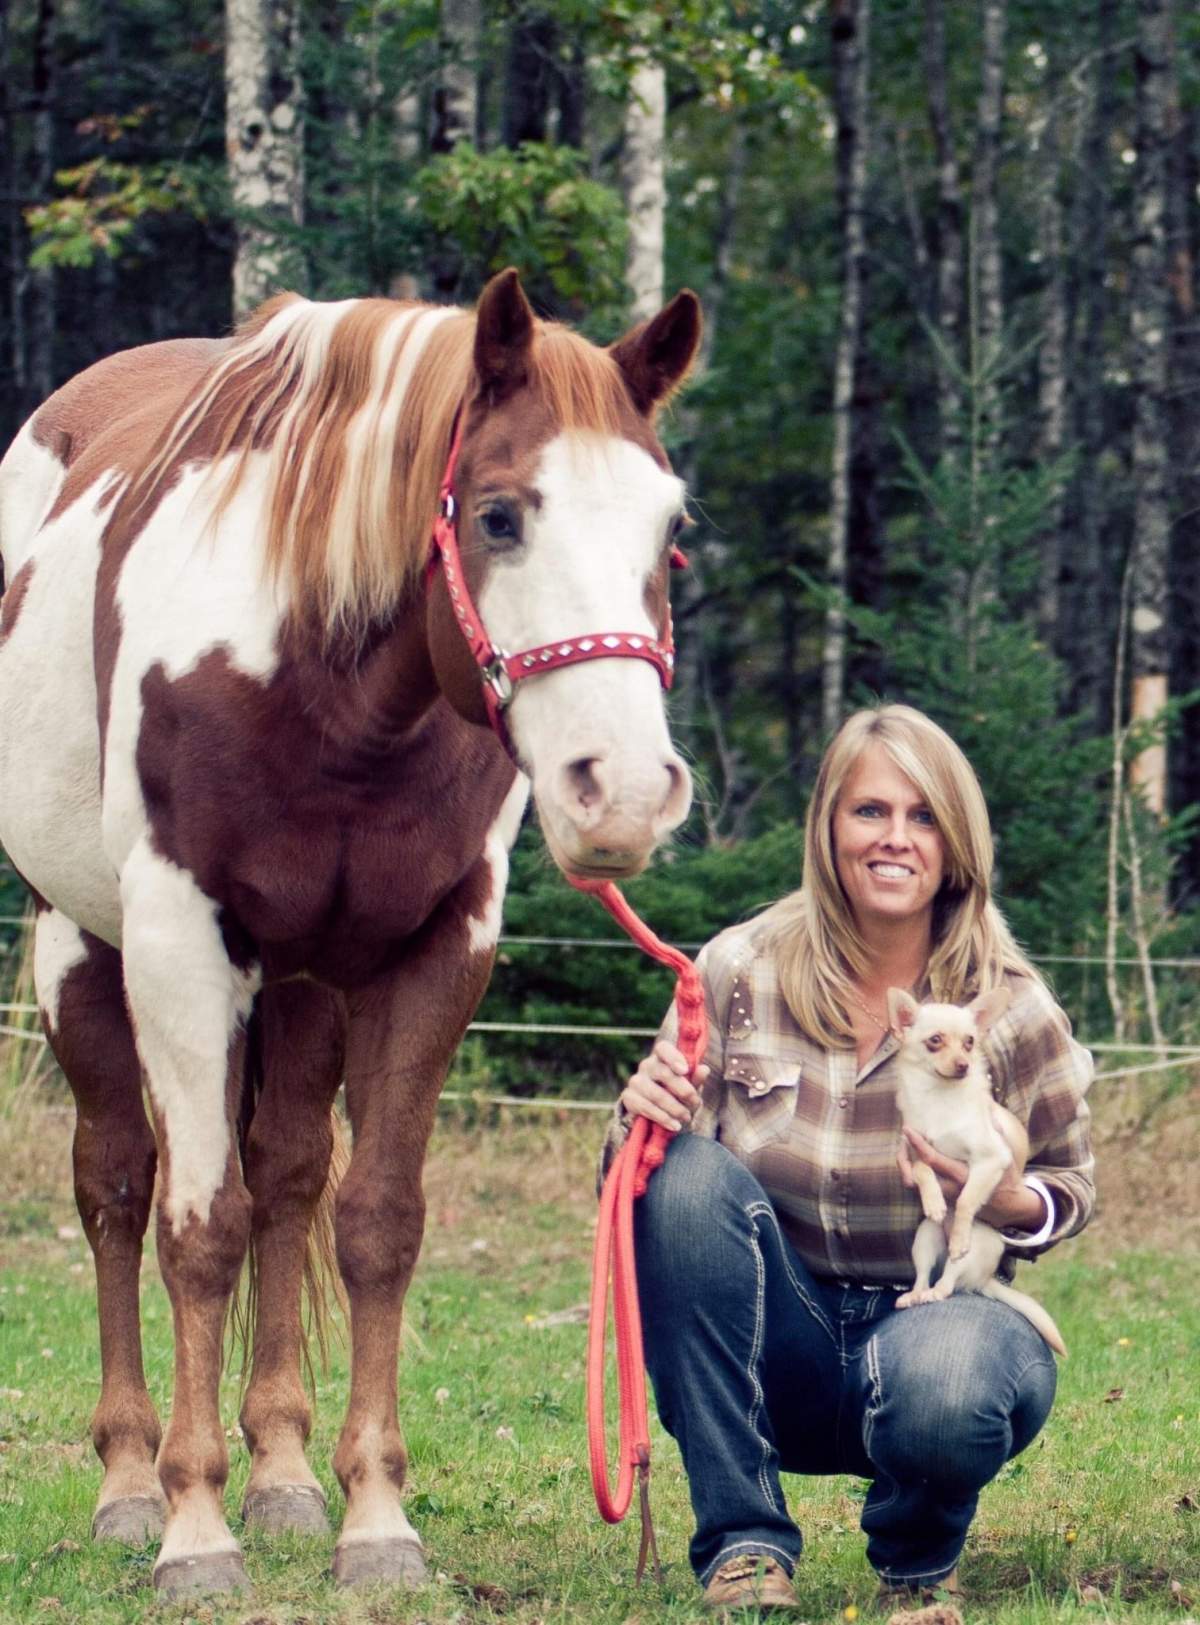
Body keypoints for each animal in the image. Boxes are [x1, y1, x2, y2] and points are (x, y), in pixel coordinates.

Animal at [0, 267, 701, 1596]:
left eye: (669, 534)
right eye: (499, 516)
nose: (624, 792)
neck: (324, 687)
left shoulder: (434, 948)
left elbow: (373, 1220)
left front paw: (374, 1517)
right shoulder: (175, 938)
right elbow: (196, 1227)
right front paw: (192, 1530)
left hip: (305, 981)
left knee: (286, 1178)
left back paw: (282, 1474)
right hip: (81, 949)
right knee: (117, 1187)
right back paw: (129, 1484)